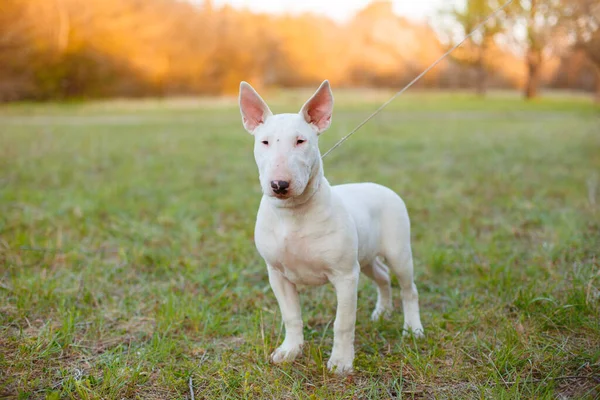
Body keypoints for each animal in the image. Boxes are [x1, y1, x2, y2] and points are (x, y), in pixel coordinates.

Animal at [237, 79, 424, 374]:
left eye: (301, 141)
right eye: (264, 142)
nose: (279, 185)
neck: (293, 214)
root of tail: (382, 187)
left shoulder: (345, 276)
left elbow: (343, 323)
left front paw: (341, 362)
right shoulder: (277, 275)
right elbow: (291, 316)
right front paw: (290, 351)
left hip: (398, 253)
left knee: (409, 289)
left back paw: (412, 328)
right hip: (366, 258)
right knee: (382, 277)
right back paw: (382, 312)